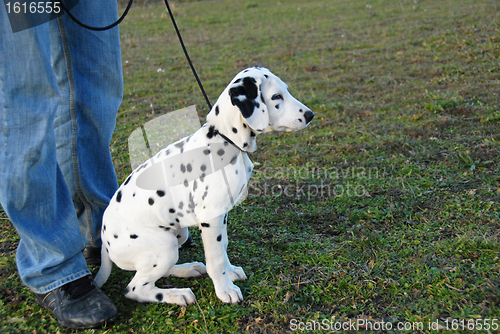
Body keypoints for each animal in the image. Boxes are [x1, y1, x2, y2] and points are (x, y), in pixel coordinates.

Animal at [94, 65, 312, 306]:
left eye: (286, 91)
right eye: (276, 97)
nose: (310, 115)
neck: (225, 139)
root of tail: (104, 241)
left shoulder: (222, 214)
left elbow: (223, 246)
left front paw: (230, 273)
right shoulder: (211, 217)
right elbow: (216, 258)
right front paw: (225, 290)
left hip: (177, 235)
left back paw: (187, 269)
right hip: (164, 245)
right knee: (135, 288)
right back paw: (177, 294)